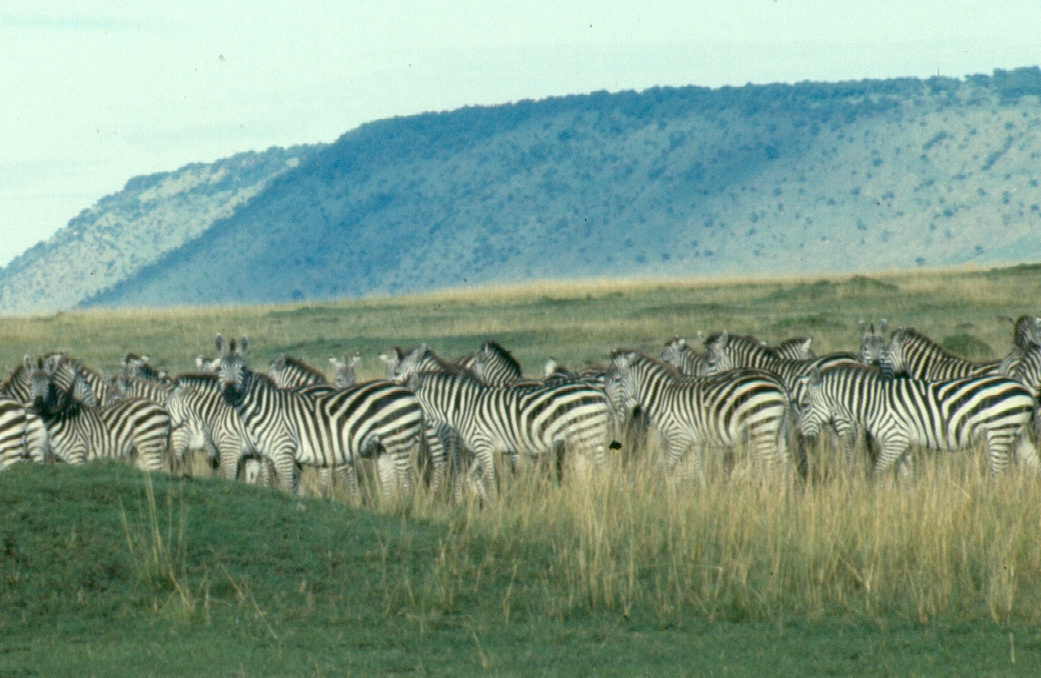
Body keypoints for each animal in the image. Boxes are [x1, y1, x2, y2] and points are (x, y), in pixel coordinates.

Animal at [29, 358, 170, 471]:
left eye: (48, 384)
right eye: (30, 384)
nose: (38, 404)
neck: (60, 416)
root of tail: (161, 408)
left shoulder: (77, 454)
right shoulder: (67, 458)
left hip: (150, 444)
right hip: (139, 451)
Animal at [215, 335, 425, 498]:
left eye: (242, 368)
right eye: (219, 369)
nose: (230, 394)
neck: (265, 407)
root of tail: (406, 389)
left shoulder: (284, 451)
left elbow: (287, 488)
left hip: (398, 439)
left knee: (407, 477)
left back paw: (405, 507)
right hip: (383, 446)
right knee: (390, 479)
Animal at [604, 351, 790, 478]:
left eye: (617, 380)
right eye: (605, 380)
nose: (609, 406)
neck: (662, 397)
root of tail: (777, 381)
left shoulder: (678, 437)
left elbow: (666, 469)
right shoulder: (692, 442)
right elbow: (693, 471)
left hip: (761, 428)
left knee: (774, 464)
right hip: (776, 430)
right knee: (784, 463)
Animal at [794, 364, 1036, 477]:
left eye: (804, 405)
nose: (801, 436)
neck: (873, 403)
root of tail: (1024, 390)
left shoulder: (895, 440)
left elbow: (876, 472)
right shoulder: (904, 444)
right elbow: (907, 477)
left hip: (999, 432)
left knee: (999, 474)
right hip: (1017, 434)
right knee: (1035, 464)